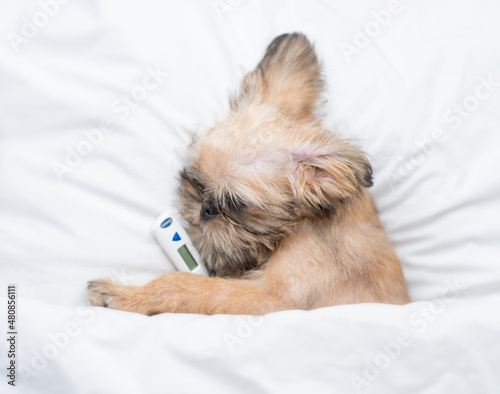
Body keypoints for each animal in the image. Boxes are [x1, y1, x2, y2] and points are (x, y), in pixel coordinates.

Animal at [87, 32, 410, 316]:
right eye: (195, 177)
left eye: (236, 204)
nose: (205, 206)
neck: (304, 225)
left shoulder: (267, 299)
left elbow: (184, 284)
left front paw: (124, 296)